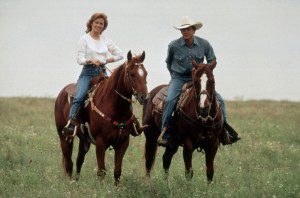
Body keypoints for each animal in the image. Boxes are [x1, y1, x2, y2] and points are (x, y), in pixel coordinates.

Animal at [54, 50, 148, 184]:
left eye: (145, 73)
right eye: (132, 73)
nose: (144, 97)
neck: (115, 108)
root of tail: (61, 93)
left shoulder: (123, 142)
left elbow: (117, 171)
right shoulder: (100, 143)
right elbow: (101, 171)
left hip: (84, 140)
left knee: (79, 160)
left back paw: (76, 181)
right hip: (64, 136)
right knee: (68, 162)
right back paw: (70, 182)